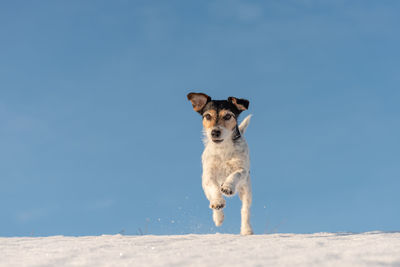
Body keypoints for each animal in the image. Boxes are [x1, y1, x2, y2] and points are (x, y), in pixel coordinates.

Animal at [188, 93, 253, 236]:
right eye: (208, 116)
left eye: (228, 116)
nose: (215, 132)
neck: (223, 149)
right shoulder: (208, 175)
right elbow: (213, 188)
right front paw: (218, 202)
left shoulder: (243, 169)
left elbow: (236, 173)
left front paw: (228, 186)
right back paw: (218, 216)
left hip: (246, 189)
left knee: (245, 210)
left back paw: (247, 230)